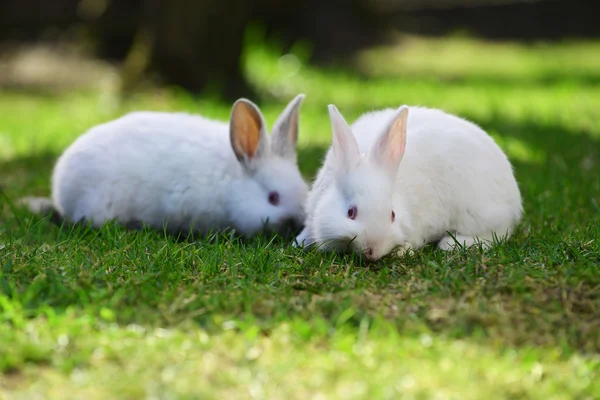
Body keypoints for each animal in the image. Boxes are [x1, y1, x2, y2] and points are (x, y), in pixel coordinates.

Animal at [298, 103, 524, 260]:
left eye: (392, 215)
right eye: (350, 213)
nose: (373, 250)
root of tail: (515, 201)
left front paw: (402, 251)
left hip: (479, 214)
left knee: (498, 233)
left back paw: (451, 244)